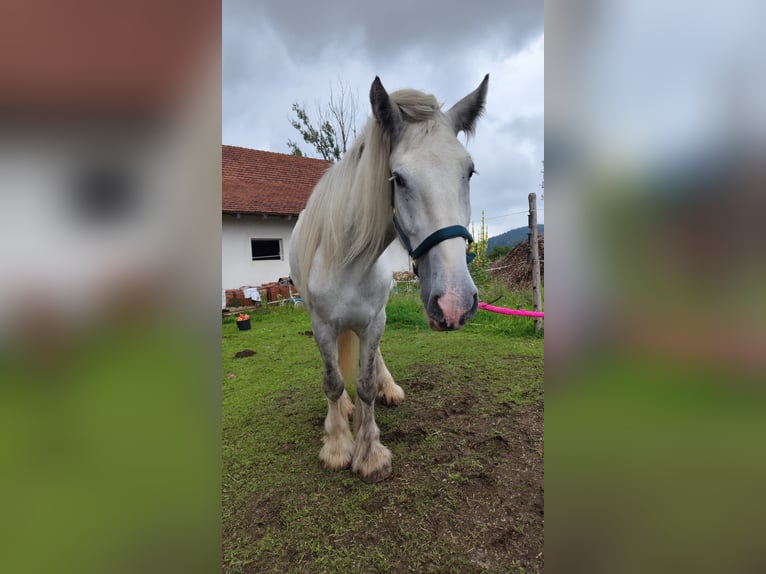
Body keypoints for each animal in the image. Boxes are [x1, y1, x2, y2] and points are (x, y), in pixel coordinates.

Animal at [289, 75, 488, 482]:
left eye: (469, 171)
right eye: (398, 178)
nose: (454, 302)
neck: (348, 260)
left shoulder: (374, 319)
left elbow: (365, 384)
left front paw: (369, 452)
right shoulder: (321, 325)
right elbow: (333, 381)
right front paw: (338, 445)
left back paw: (388, 387)